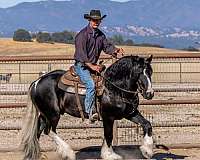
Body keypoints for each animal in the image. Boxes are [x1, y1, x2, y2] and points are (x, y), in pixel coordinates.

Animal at [20, 54, 155, 159]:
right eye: (138, 72)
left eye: (150, 72)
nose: (150, 93)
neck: (114, 88)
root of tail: (37, 82)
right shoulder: (108, 117)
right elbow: (109, 135)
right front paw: (110, 155)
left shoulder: (130, 113)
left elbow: (147, 124)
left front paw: (147, 151)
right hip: (53, 114)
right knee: (49, 131)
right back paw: (68, 153)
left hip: (45, 114)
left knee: (38, 130)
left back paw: (36, 155)